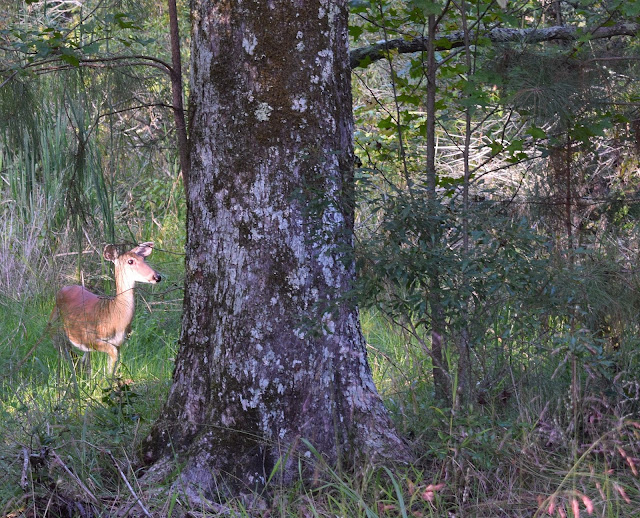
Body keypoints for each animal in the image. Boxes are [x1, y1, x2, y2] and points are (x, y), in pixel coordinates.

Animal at [52, 244, 162, 378]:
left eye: (143, 259)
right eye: (130, 261)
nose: (157, 277)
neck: (114, 317)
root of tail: (62, 289)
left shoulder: (120, 343)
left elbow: (113, 363)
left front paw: (108, 379)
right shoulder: (90, 337)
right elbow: (112, 354)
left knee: (82, 359)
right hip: (55, 326)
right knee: (65, 352)